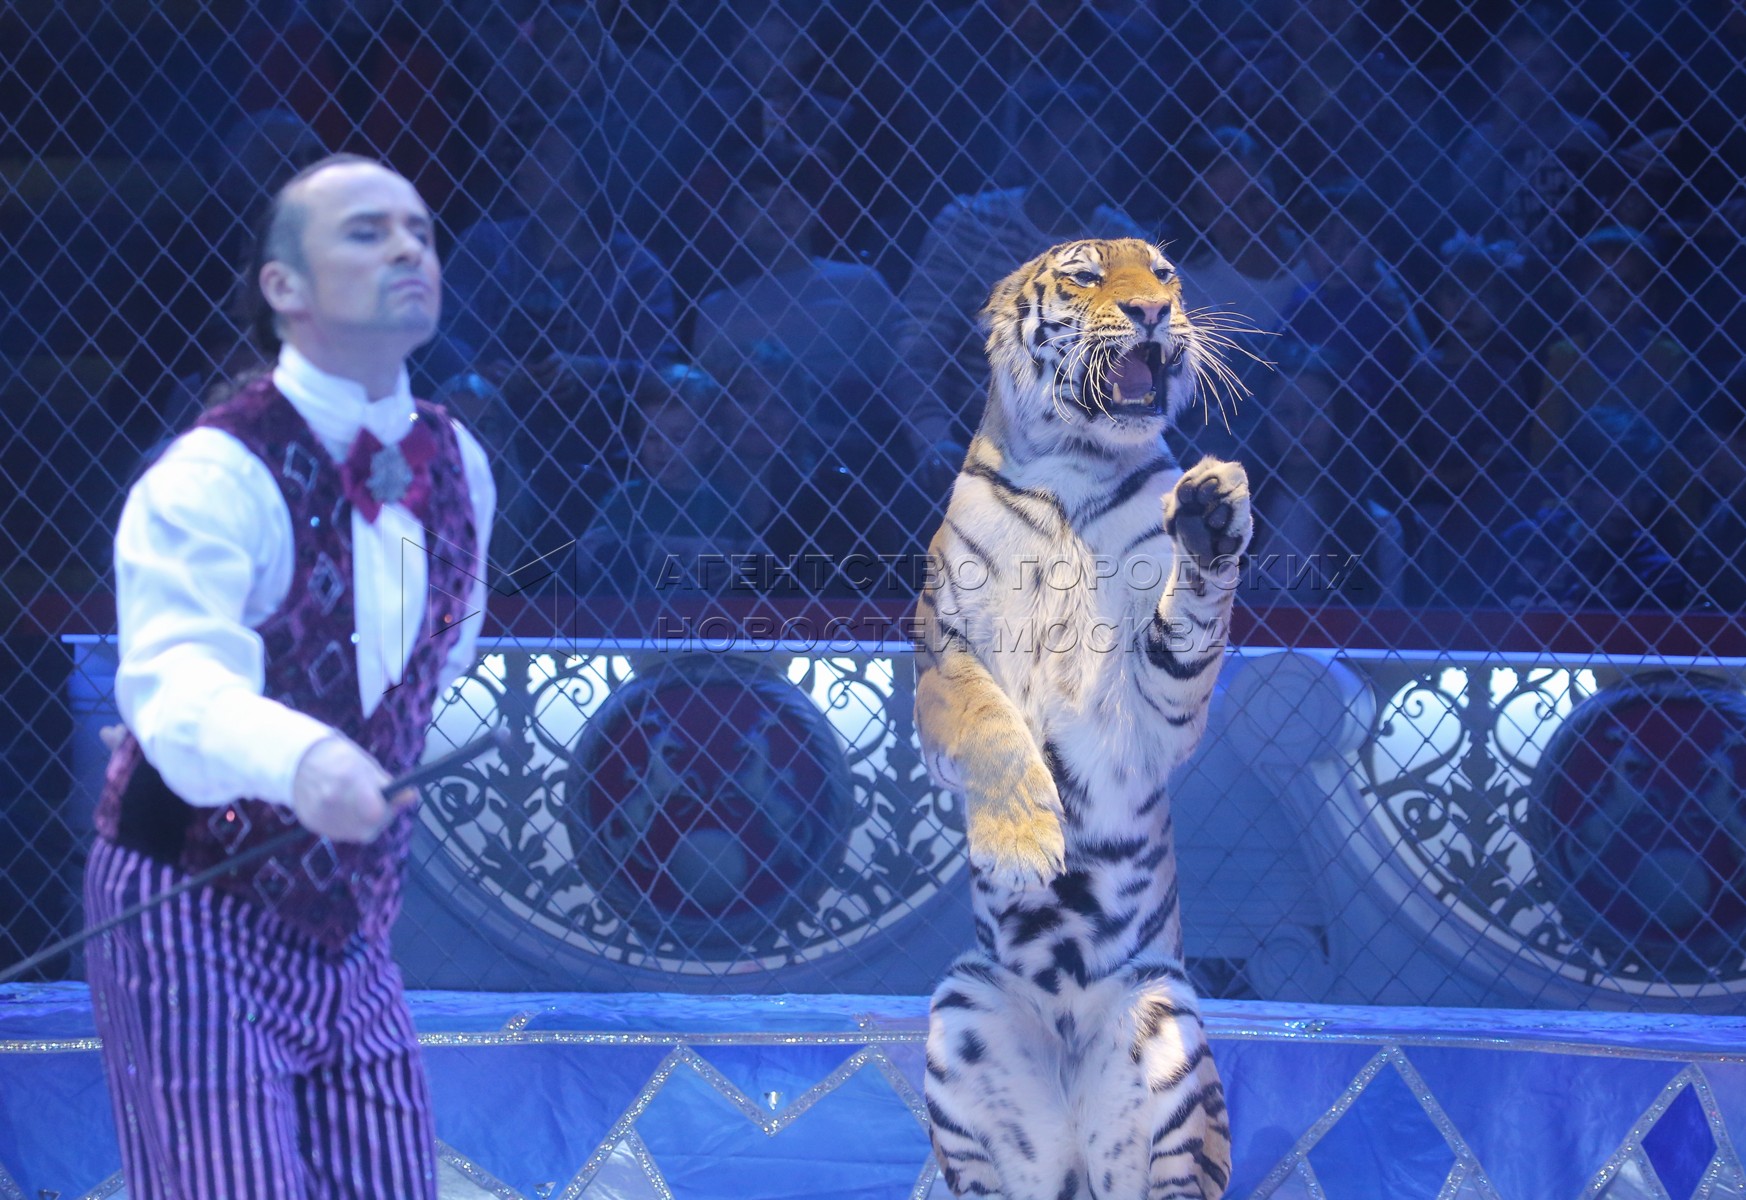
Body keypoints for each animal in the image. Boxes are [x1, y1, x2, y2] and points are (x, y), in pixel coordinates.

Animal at [914, 237, 1250, 1200]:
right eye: (1087, 277)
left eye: (1165, 274)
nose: (1154, 314)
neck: (1075, 464)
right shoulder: (944, 649)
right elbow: (991, 729)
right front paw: (1028, 845)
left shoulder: (1155, 702)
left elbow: (1189, 625)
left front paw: (1210, 513)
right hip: (963, 1010)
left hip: (1169, 1029)